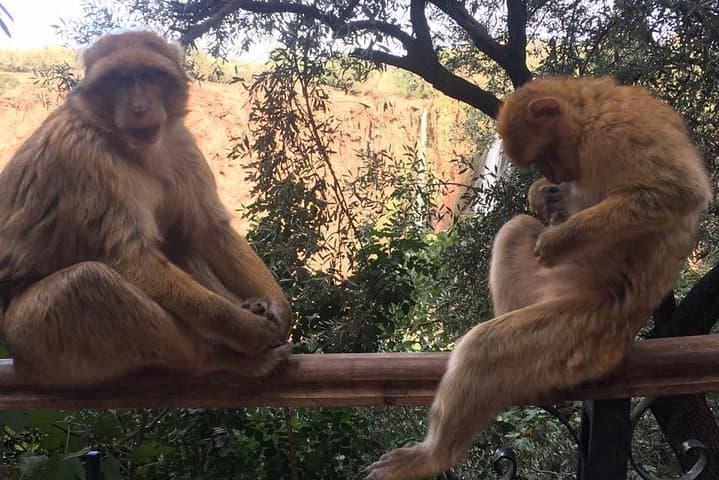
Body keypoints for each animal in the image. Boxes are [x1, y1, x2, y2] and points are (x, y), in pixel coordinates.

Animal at [0, 31, 293, 387]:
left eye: (150, 75)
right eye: (117, 80)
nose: (139, 107)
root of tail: (21, 365)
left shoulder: (181, 142)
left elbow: (211, 229)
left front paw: (278, 309)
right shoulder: (83, 156)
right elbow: (131, 259)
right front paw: (253, 331)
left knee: (181, 240)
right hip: (34, 344)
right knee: (86, 282)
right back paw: (215, 359)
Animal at [364, 76, 712, 479]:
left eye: (546, 154)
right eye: (539, 162)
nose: (556, 175)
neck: (589, 116)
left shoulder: (621, 131)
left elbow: (678, 192)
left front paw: (560, 238)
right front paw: (543, 196)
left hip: (581, 333)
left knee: (486, 350)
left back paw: (433, 454)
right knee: (515, 230)